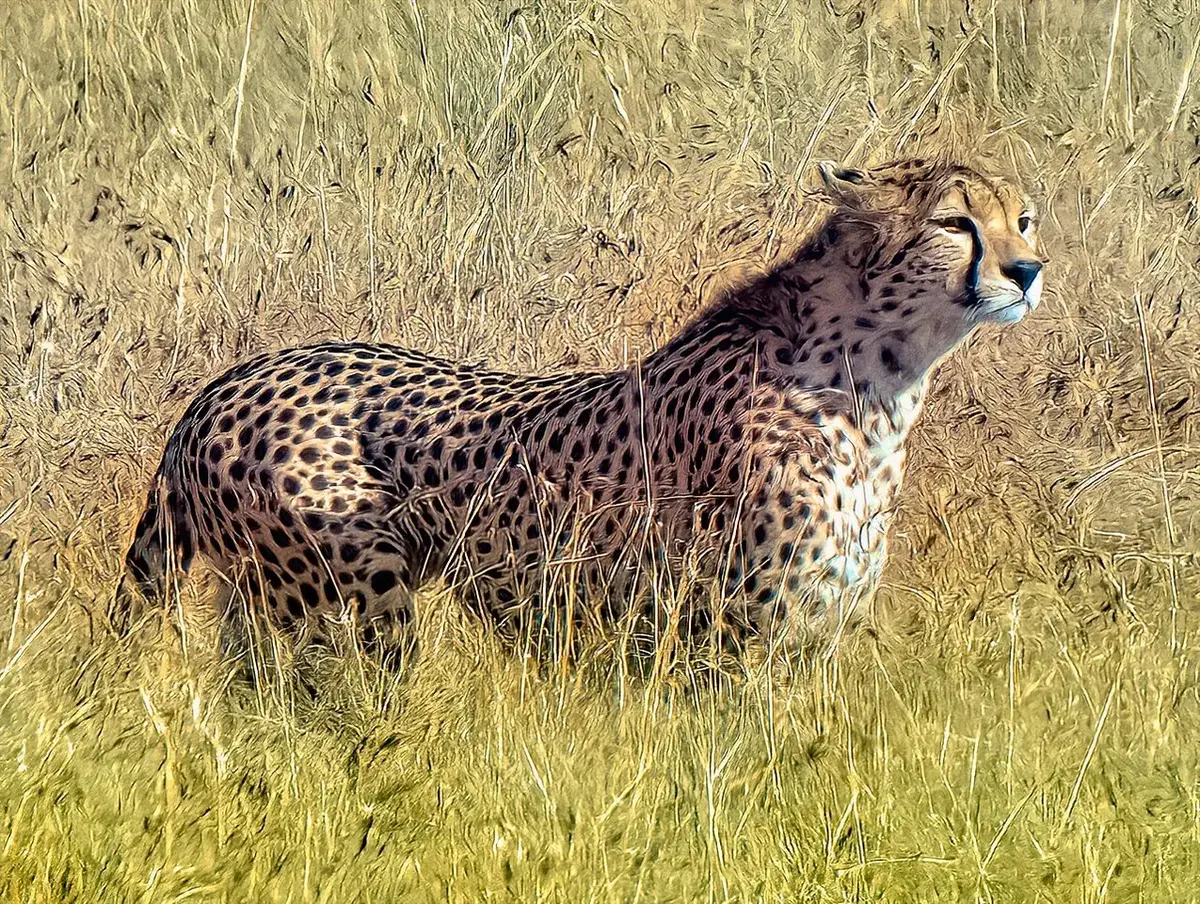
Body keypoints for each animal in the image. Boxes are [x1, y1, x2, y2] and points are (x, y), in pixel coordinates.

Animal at [116, 157, 1044, 667]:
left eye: (1024, 219)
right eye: (955, 223)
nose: (1029, 270)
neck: (874, 381)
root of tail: (221, 386)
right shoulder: (730, 643)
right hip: (351, 604)